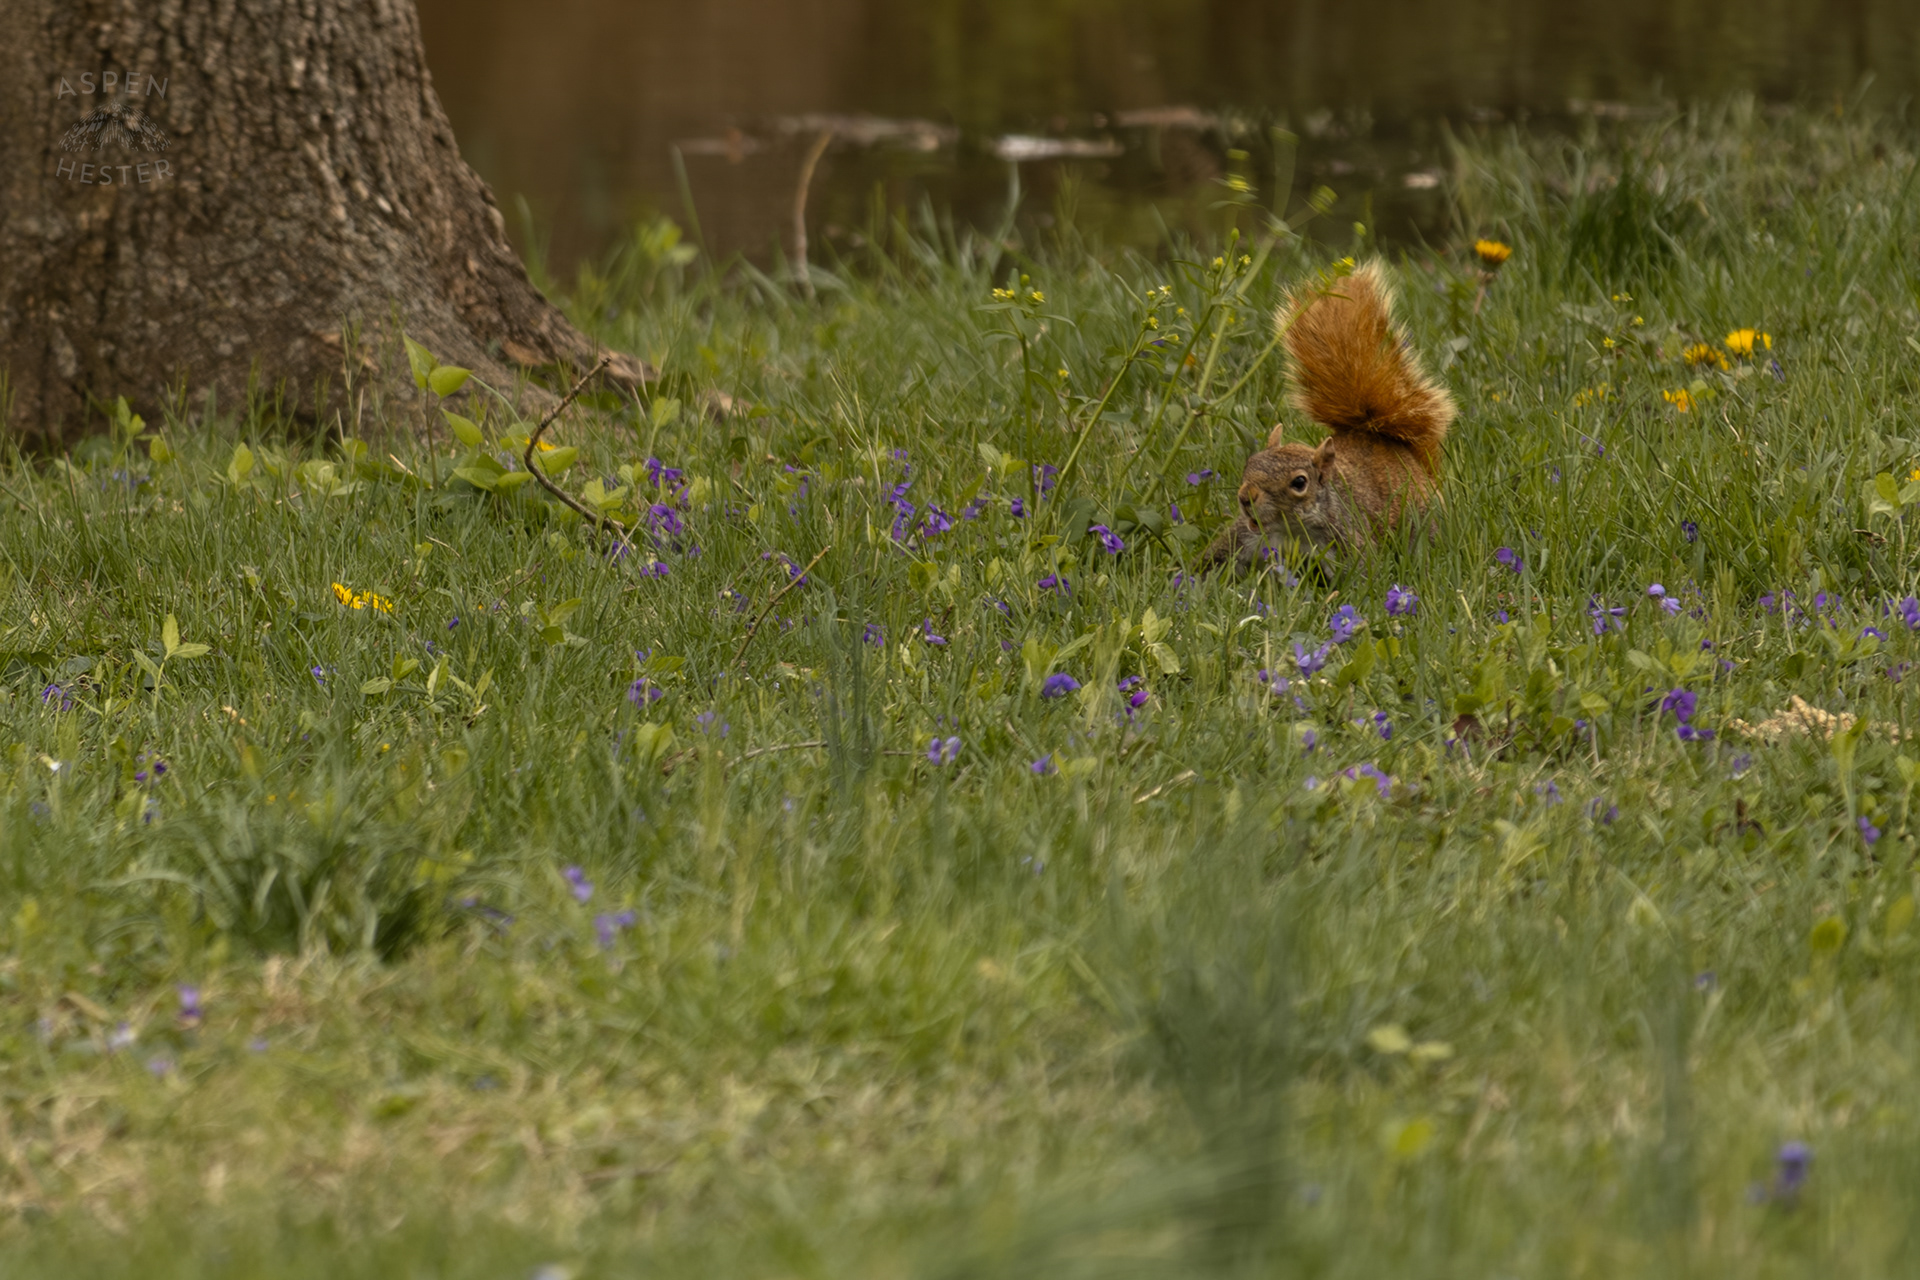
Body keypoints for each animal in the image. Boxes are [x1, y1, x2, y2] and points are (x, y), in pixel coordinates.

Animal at [1202, 261, 1455, 573]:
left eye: (1299, 483)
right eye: (1250, 463)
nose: (1245, 498)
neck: (1289, 531)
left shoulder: (1348, 540)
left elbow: (1365, 574)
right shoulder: (1243, 538)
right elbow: (1213, 563)